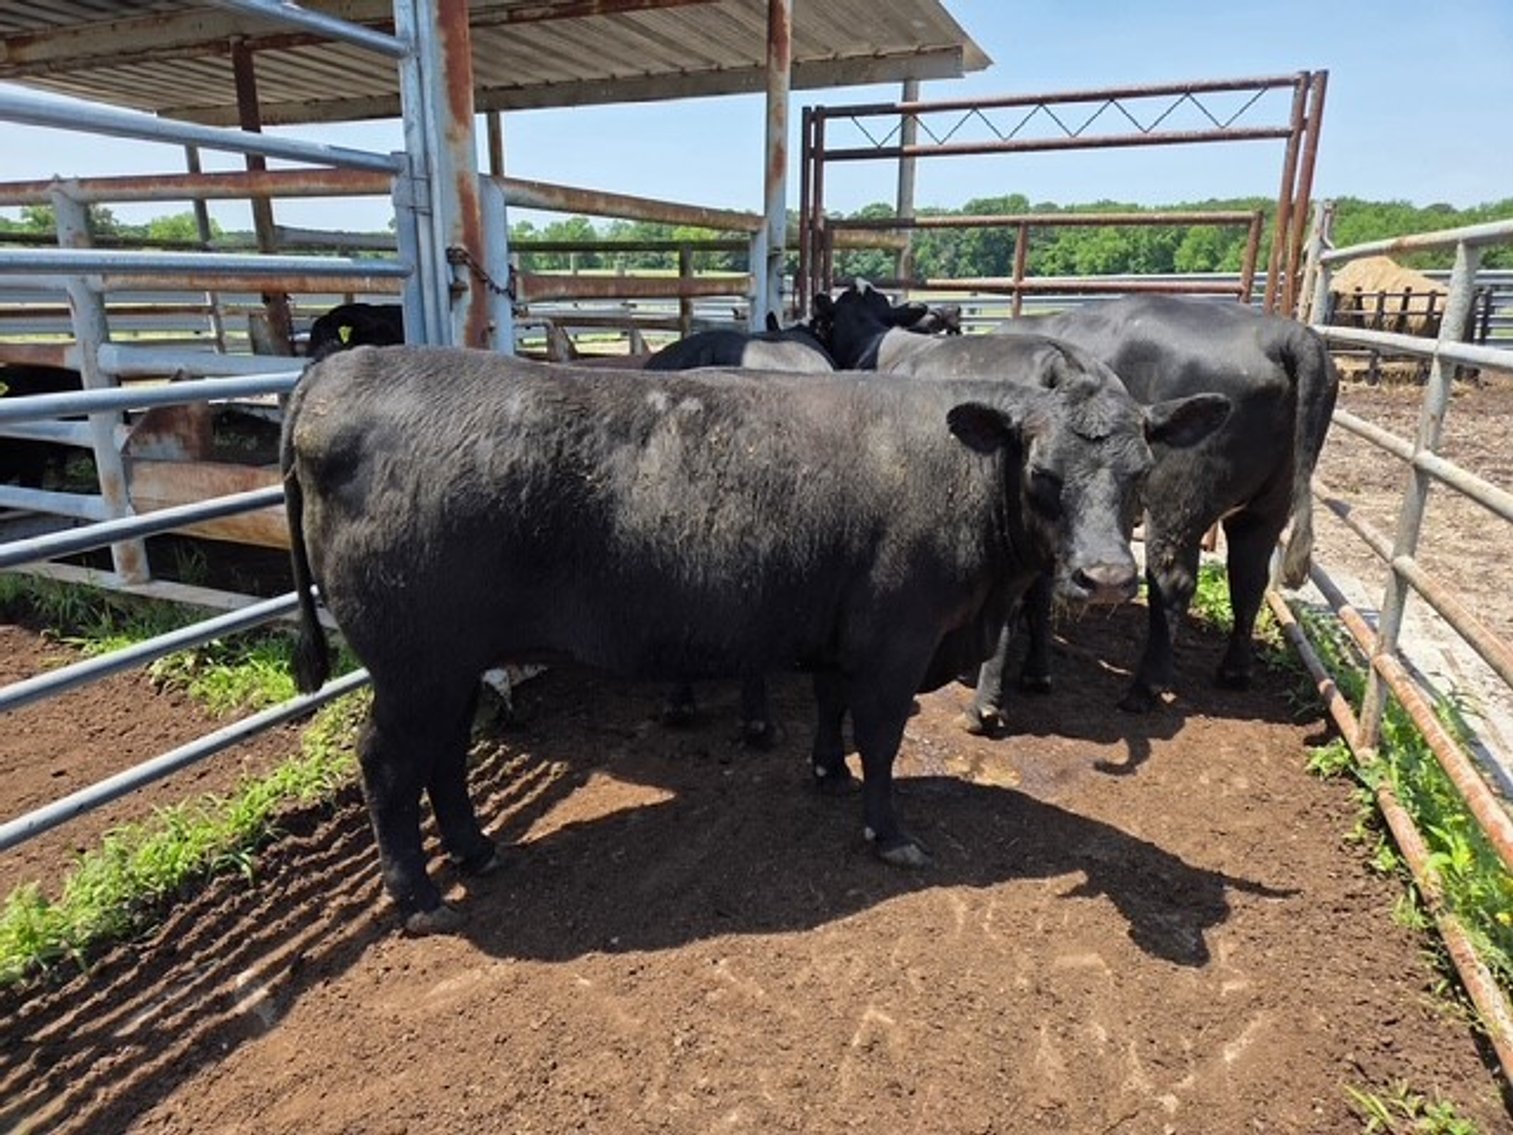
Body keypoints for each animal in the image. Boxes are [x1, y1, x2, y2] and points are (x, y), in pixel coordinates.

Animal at [282, 344, 1227, 931]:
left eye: (1141, 471)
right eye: (1041, 472)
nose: (1106, 577)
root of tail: (344, 368)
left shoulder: (844, 629)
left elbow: (832, 707)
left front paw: (825, 770)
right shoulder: (896, 636)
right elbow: (882, 735)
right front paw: (887, 830)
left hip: (447, 663)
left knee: (444, 755)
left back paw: (479, 853)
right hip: (414, 665)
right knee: (388, 763)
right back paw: (418, 896)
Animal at [816, 283, 1337, 726]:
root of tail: (1285, 332)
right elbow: (1041, 590)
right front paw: (1038, 666)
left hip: (1178, 503)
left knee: (1172, 581)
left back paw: (1126, 690)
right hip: (1267, 506)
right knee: (1247, 578)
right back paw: (1233, 671)